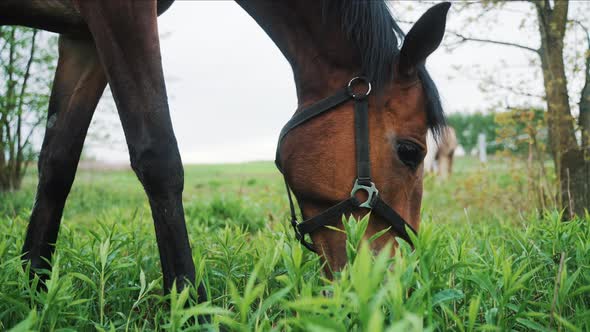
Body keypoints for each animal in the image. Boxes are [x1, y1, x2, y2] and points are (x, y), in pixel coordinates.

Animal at [1, 0, 448, 300]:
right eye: (411, 152)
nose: (395, 287)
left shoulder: (81, 36)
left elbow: (57, 162)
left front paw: (36, 288)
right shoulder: (118, 11)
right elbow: (159, 157)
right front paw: (188, 304)